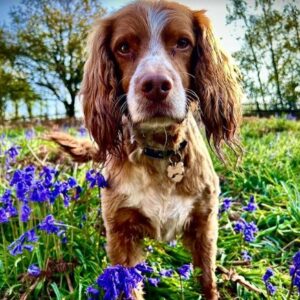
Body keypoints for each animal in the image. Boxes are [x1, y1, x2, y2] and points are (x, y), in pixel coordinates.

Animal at [49, 1, 241, 298]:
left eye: (183, 42)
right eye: (123, 47)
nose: (155, 86)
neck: (160, 152)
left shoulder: (204, 223)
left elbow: (208, 279)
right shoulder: (122, 234)